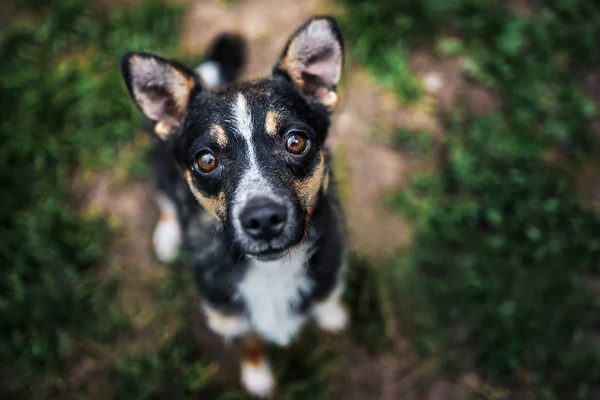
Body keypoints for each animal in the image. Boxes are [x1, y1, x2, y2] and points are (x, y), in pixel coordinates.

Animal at [120, 16, 350, 396]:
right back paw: (167, 237)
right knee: (166, 201)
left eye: (296, 141)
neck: (271, 270)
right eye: (206, 160)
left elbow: (326, 297)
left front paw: (331, 313)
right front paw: (257, 377)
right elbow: (251, 342)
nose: (263, 219)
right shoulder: (228, 316)